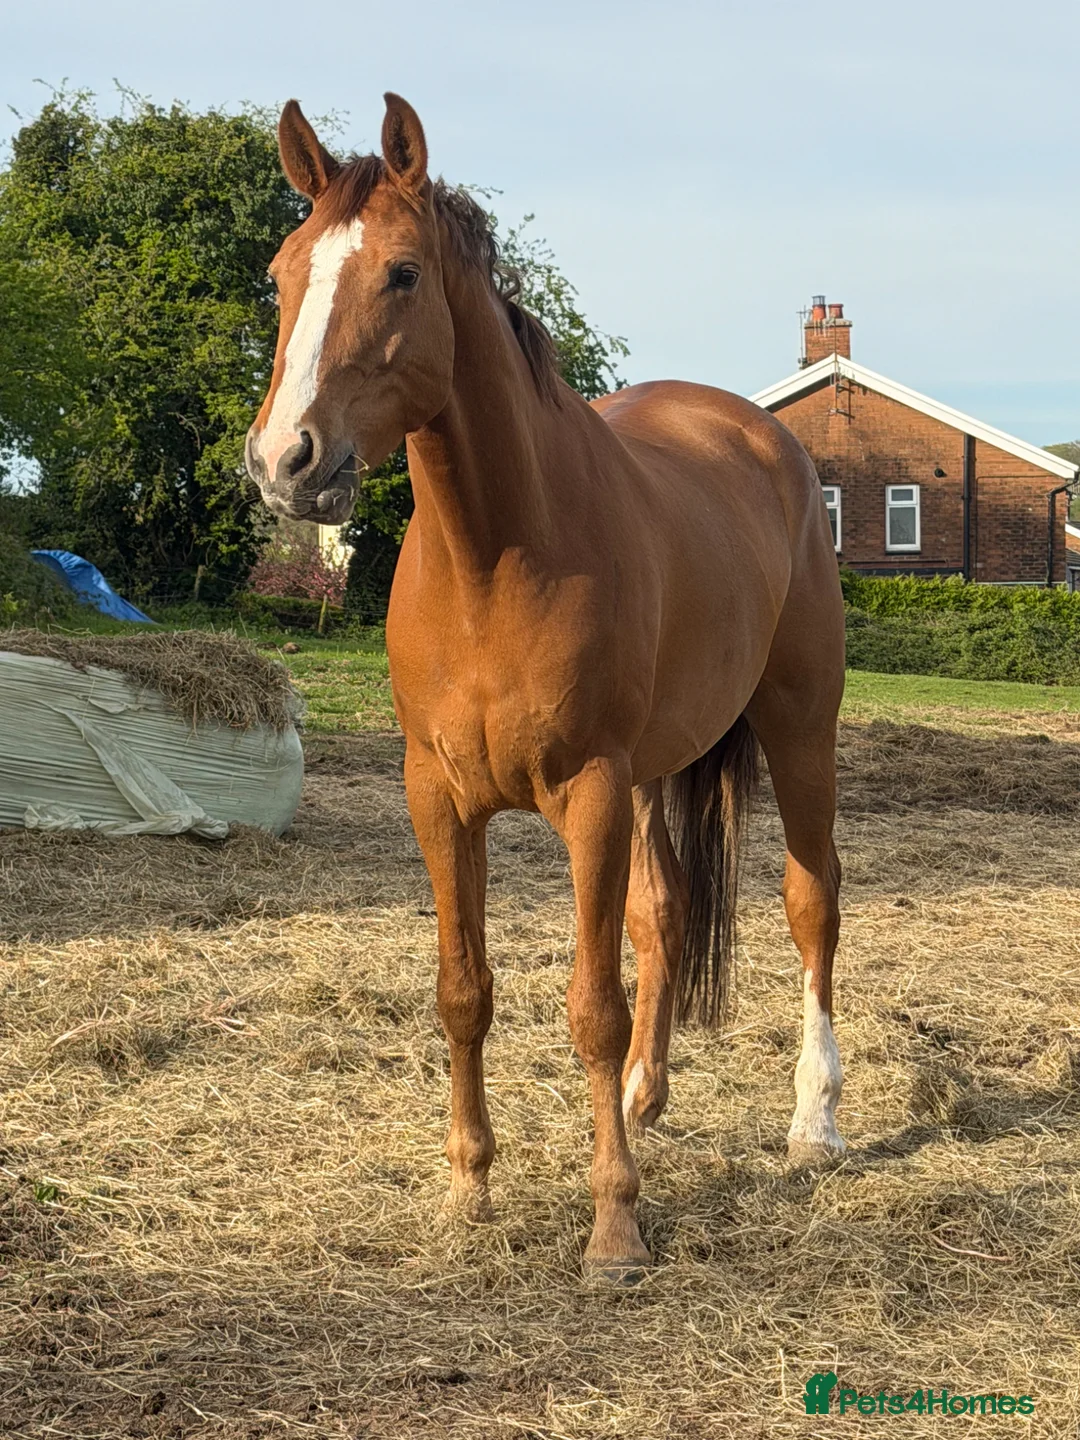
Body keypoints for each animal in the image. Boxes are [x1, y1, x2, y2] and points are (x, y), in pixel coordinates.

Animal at [246, 93, 847, 1283]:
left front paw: (614, 1225)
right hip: (663, 770)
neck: (495, 562)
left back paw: (815, 1119)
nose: (285, 460)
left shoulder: (592, 795)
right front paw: (468, 1189)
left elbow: (591, 1007)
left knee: (813, 905)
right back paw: (646, 1099)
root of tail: (768, 444)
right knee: (666, 917)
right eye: (285, 271)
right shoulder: (438, 798)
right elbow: (463, 992)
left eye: (402, 274)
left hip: (800, 732)